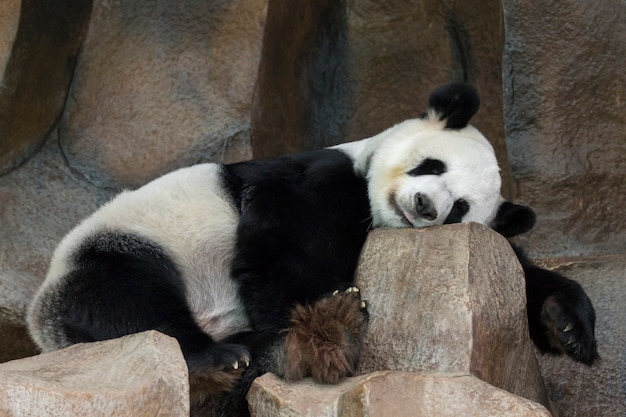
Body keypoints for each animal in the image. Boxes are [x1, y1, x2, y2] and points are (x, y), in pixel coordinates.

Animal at [26, 81, 596, 412]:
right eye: (432, 165)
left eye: (459, 207)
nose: (424, 207)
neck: (375, 205)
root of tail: (41, 326)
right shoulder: (319, 177)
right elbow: (281, 242)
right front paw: (324, 320)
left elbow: (520, 272)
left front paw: (568, 328)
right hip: (124, 245)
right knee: (131, 302)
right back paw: (221, 358)